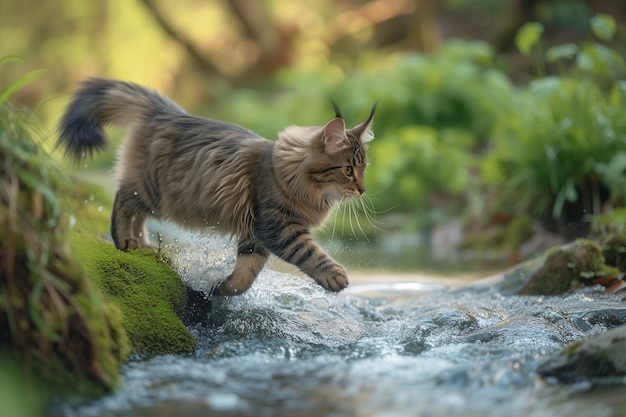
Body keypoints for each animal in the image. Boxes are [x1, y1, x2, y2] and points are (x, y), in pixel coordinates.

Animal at [56, 77, 372, 292]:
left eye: (363, 169)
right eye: (348, 170)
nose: (362, 190)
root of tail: (165, 111)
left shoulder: (255, 235)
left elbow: (246, 273)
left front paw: (222, 290)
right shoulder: (277, 226)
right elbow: (310, 252)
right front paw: (335, 276)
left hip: (156, 198)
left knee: (137, 214)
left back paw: (142, 245)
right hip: (152, 191)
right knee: (123, 199)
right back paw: (125, 241)